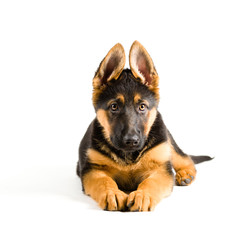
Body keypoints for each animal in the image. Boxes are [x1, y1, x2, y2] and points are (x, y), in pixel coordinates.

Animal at [76, 41, 212, 212]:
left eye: (142, 107)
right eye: (114, 107)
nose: (131, 141)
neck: (128, 156)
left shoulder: (161, 170)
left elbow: (150, 182)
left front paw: (142, 196)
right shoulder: (93, 170)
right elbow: (105, 182)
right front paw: (112, 194)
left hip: (168, 143)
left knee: (185, 158)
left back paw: (185, 174)